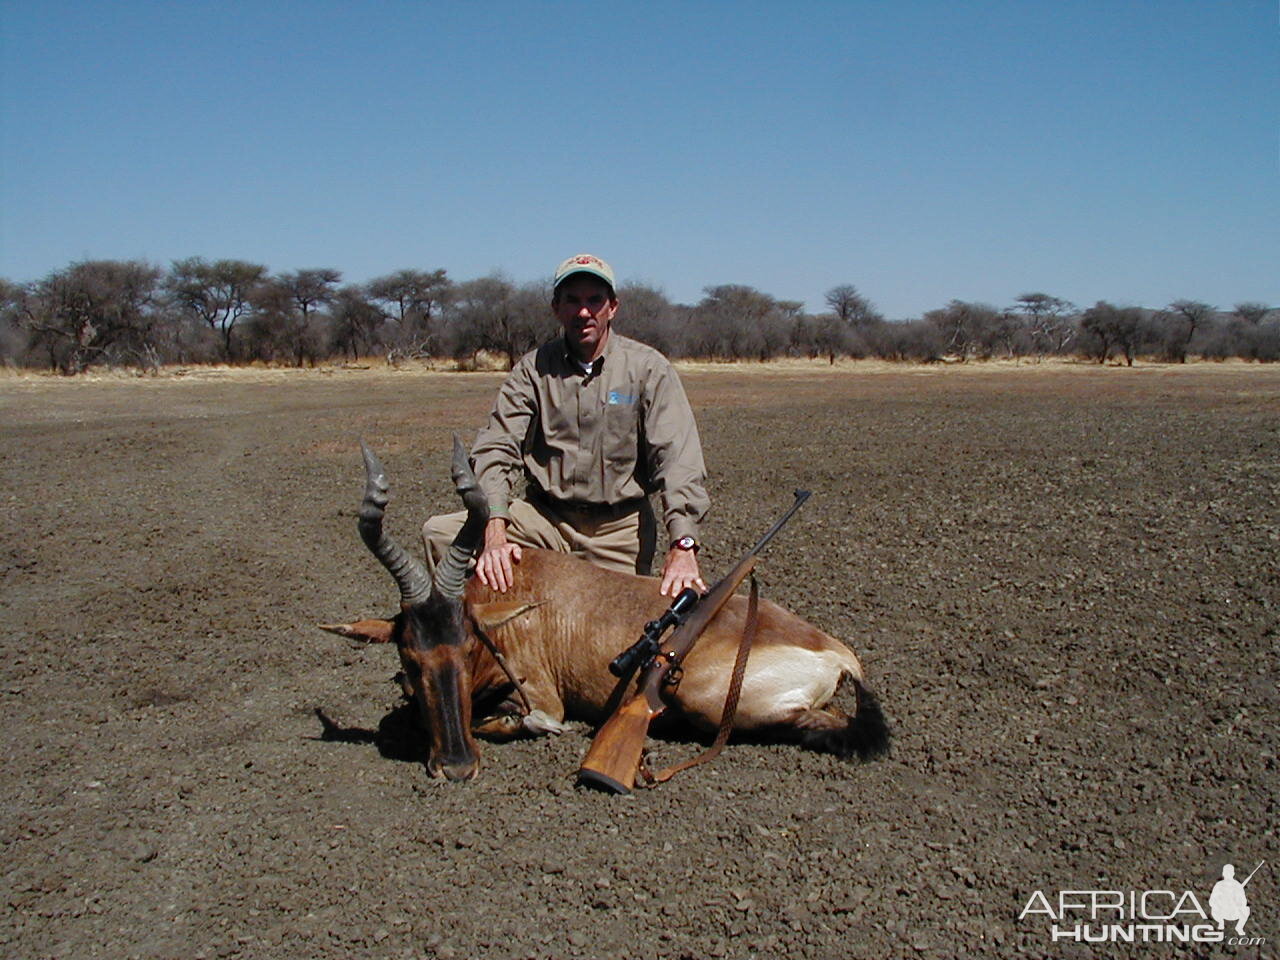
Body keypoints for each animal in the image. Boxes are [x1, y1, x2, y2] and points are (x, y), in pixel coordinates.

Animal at [320, 442, 885, 783]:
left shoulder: (543, 699)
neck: (519, 591)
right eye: (410, 656)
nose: (457, 768)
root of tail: (837, 651)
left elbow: (528, 721)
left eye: (468, 644)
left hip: (711, 699)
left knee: (825, 723)